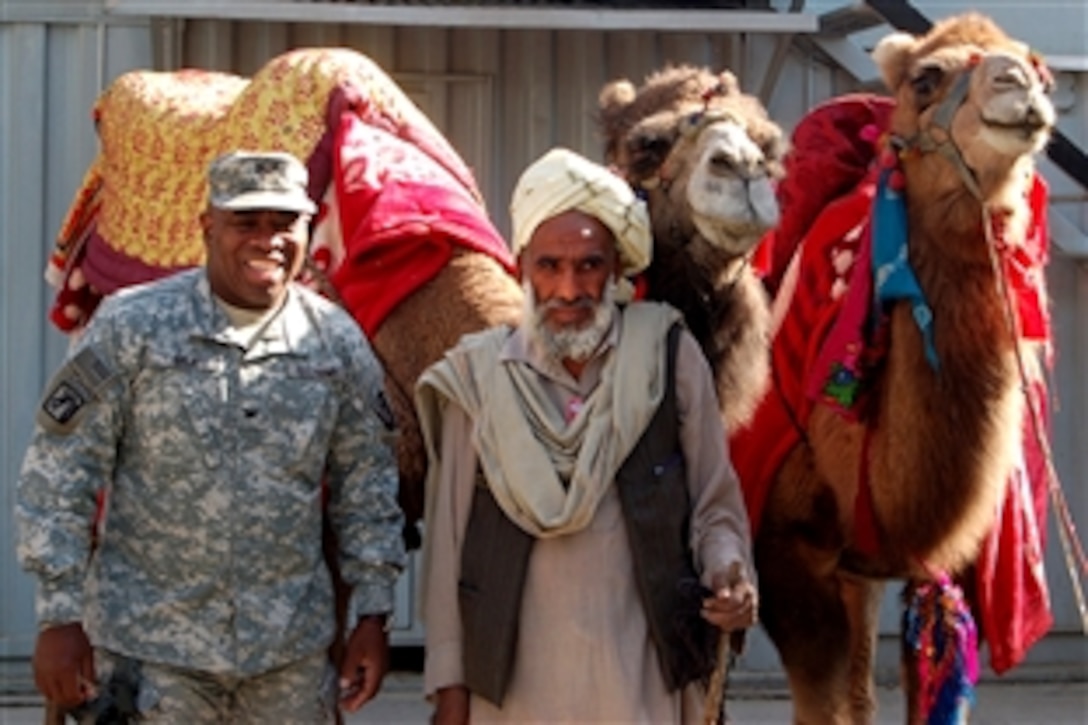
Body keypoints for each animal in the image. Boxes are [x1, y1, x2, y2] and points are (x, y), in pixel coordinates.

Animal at [726, 12, 1057, 722]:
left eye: (1040, 72)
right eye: (927, 79)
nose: (1018, 86)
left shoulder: (953, 565)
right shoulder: (787, 555)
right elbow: (820, 703)